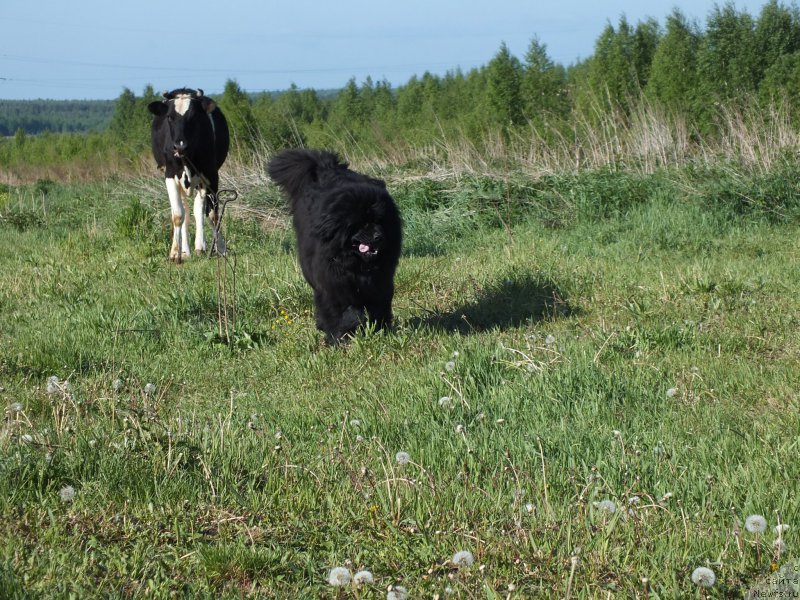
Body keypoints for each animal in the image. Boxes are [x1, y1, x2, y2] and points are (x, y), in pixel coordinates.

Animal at [148, 88, 230, 262]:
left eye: (193, 117)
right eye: (169, 117)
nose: (180, 145)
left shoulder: (211, 175)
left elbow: (212, 214)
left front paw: (220, 249)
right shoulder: (170, 175)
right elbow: (178, 215)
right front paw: (175, 253)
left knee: (197, 209)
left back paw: (200, 246)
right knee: (184, 210)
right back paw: (185, 251)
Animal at [268, 150, 404, 344]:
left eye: (380, 221)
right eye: (363, 224)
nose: (379, 237)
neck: (356, 265)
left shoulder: (380, 283)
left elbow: (378, 306)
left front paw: (381, 330)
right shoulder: (333, 286)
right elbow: (344, 313)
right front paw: (338, 337)